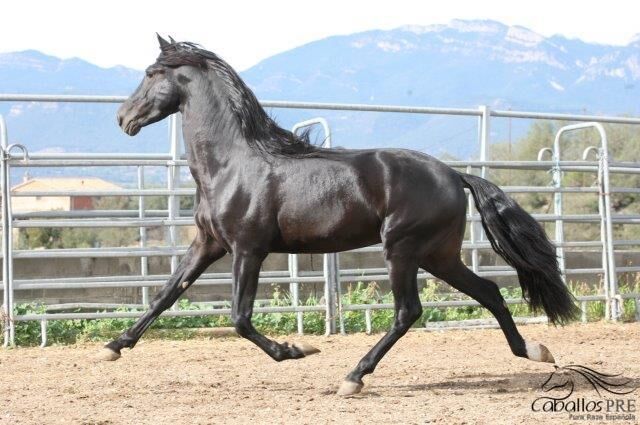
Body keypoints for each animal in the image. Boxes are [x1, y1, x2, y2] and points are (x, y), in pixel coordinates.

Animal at [99, 34, 576, 396]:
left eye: (150, 74)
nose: (122, 118)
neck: (231, 165)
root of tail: (454, 175)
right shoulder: (209, 244)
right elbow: (166, 294)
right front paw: (113, 346)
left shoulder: (247, 250)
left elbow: (239, 318)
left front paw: (296, 351)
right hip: (438, 255)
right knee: (489, 292)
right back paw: (534, 351)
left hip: (403, 250)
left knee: (408, 312)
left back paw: (353, 377)